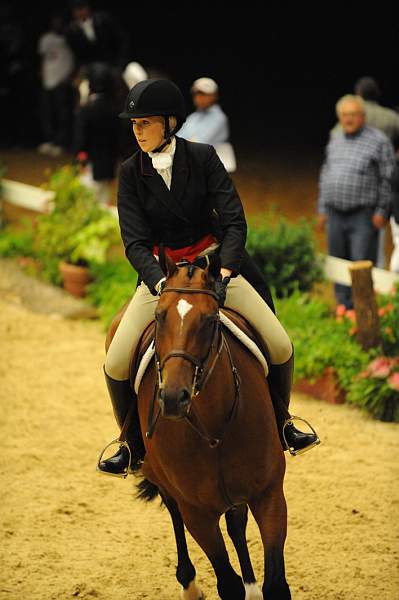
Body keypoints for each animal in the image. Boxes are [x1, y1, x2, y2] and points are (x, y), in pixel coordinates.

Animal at [109, 254, 290, 600]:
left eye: (209, 320)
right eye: (159, 316)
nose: (172, 398)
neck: (213, 427)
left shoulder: (269, 494)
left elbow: (276, 584)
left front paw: (256, 585)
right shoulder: (197, 514)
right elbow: (227, 583)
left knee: (236, 522)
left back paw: (251, 585)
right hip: (160, 477)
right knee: (174, 513)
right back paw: (189, 584)